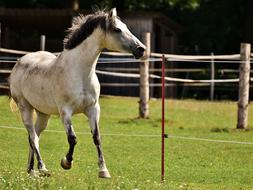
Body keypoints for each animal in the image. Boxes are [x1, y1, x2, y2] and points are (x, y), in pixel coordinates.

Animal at [9, 8, 146, 178]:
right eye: (117, 29)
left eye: (125, 26)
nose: (141, 49)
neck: (79, 72)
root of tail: (19, 62)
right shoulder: (65, 112)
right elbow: (72, 138)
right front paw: (66, 162)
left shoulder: (93, 109)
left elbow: (97, 138)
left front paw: (103, 171)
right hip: (25, 108)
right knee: (33, 137)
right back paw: (42, 168)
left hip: (43, 113)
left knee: (34, 136)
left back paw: (32, 170)